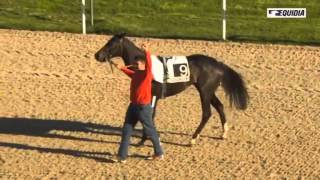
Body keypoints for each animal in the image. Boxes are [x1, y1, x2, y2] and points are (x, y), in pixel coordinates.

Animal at [94, 33, 249, 146]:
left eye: (111, 44)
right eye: (107, 42)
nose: (97, 55)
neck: (145, 66)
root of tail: (218, 64)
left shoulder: (153, 96)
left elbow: (149, 116)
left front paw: (143, 140)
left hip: (205, 92)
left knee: (207, 113)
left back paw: (193, 139)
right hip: (208, 91)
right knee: (220, 106)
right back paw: (224, 133)